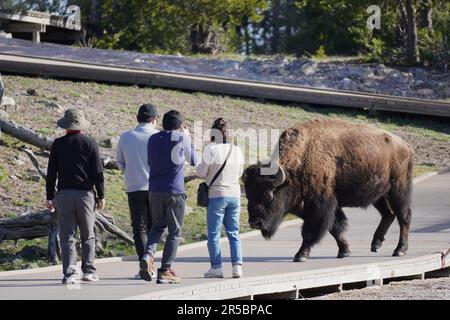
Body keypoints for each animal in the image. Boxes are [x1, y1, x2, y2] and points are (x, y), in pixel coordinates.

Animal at [244, 119, 414, 262]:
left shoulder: (320, 206)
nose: (255, 223)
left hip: (398, 190)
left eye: (269, 195)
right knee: (388, 214)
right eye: (248, 195)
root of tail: (406, 146)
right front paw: (344, 252)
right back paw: (376, 244)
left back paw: (399, 250)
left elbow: (311, 231)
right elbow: (335, 228)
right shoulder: (320, 207)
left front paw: (300, 255)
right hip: (379, 196)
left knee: (403, 216)